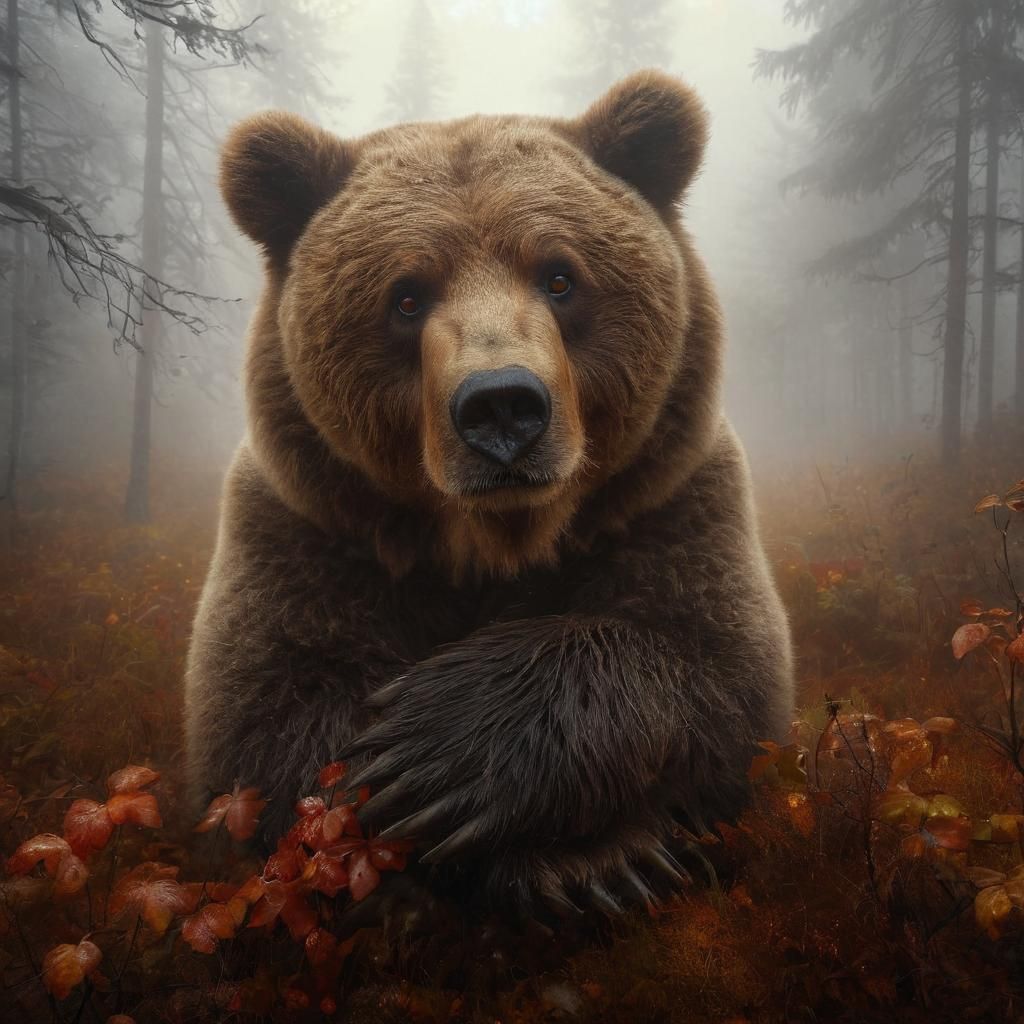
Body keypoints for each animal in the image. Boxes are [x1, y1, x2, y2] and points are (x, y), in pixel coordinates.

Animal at [185, 70, 794, 914]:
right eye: (406, 296)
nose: (502, 406)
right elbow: (270, 717)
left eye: (561, 277)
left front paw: (453, 758)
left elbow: (721, 667)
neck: (494, 540)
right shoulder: (308, 522)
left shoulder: (668, 496)